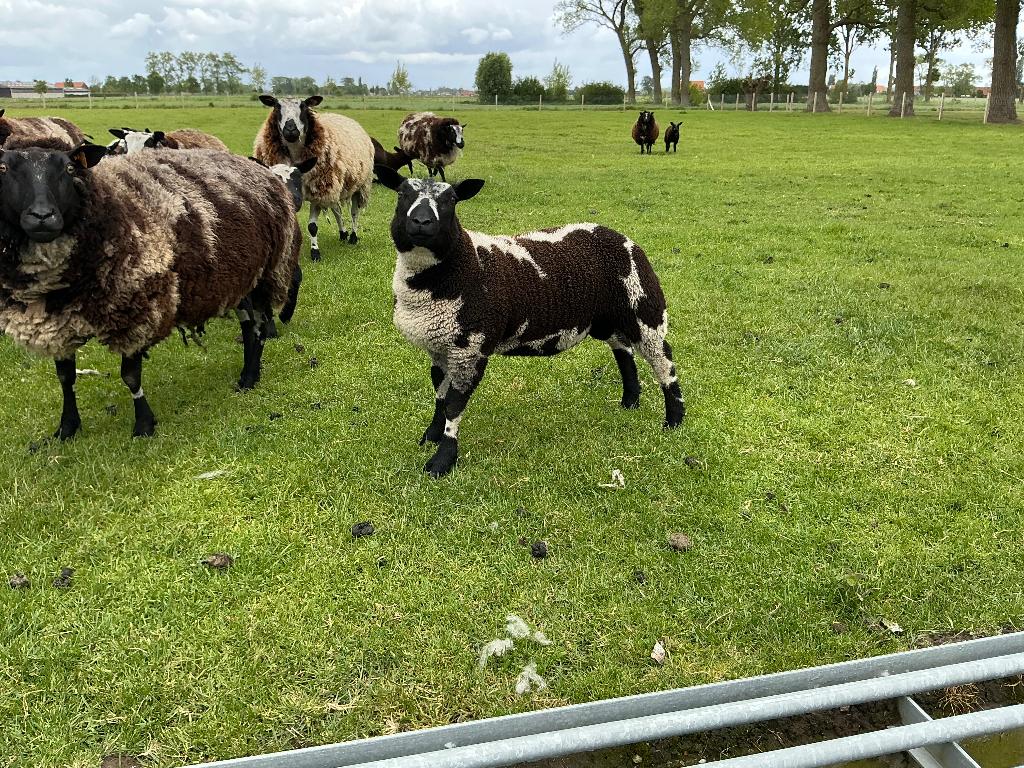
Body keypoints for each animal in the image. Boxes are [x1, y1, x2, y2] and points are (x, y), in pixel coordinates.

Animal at [0, 137, 309, 440]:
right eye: (2, 168)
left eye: (70, 169)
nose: (42, 216)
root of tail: (258, 169)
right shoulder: (58, 323)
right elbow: (65, 377)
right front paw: (67, 427)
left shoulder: (139, 306)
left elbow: (130, 376)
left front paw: (144, 425)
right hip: (240, 277)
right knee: (249, 326)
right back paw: (248, 375)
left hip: (268, 271)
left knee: (258, 325)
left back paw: (250, 376)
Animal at [254, 94, 374, 260]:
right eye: (277, 106)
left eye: (303, 106)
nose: (290, 130)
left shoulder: (318, 192)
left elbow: (312, 227)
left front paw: (315, 252)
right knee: (337, 210)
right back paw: (343, 233)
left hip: (359, 185)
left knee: (354, 213)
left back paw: (353, 237)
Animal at [374, 164, 686, 478]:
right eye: (402, 193)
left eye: (451, 200)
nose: (421, 222)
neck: (463, 264)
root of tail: (621, 237)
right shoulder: (439, 345)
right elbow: (439, 394)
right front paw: (431, 436)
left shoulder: (471, 347)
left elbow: (453, 404)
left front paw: (442, 460)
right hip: (608, 318)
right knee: (623, 351)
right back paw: (630, 402)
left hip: (643, 307)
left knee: (663, 359)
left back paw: (674, 419)